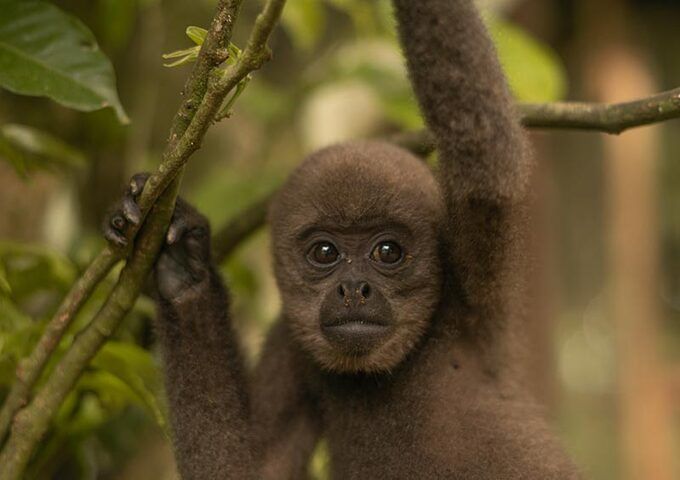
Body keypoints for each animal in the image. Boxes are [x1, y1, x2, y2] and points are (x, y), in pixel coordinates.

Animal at [104, 0, 581, 478]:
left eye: (388, 251)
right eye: (325, 252)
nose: (353, 288)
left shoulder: (475, 292)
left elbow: (489, 163)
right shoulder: (290, 343)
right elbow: (248, 471)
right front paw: (182, 259)